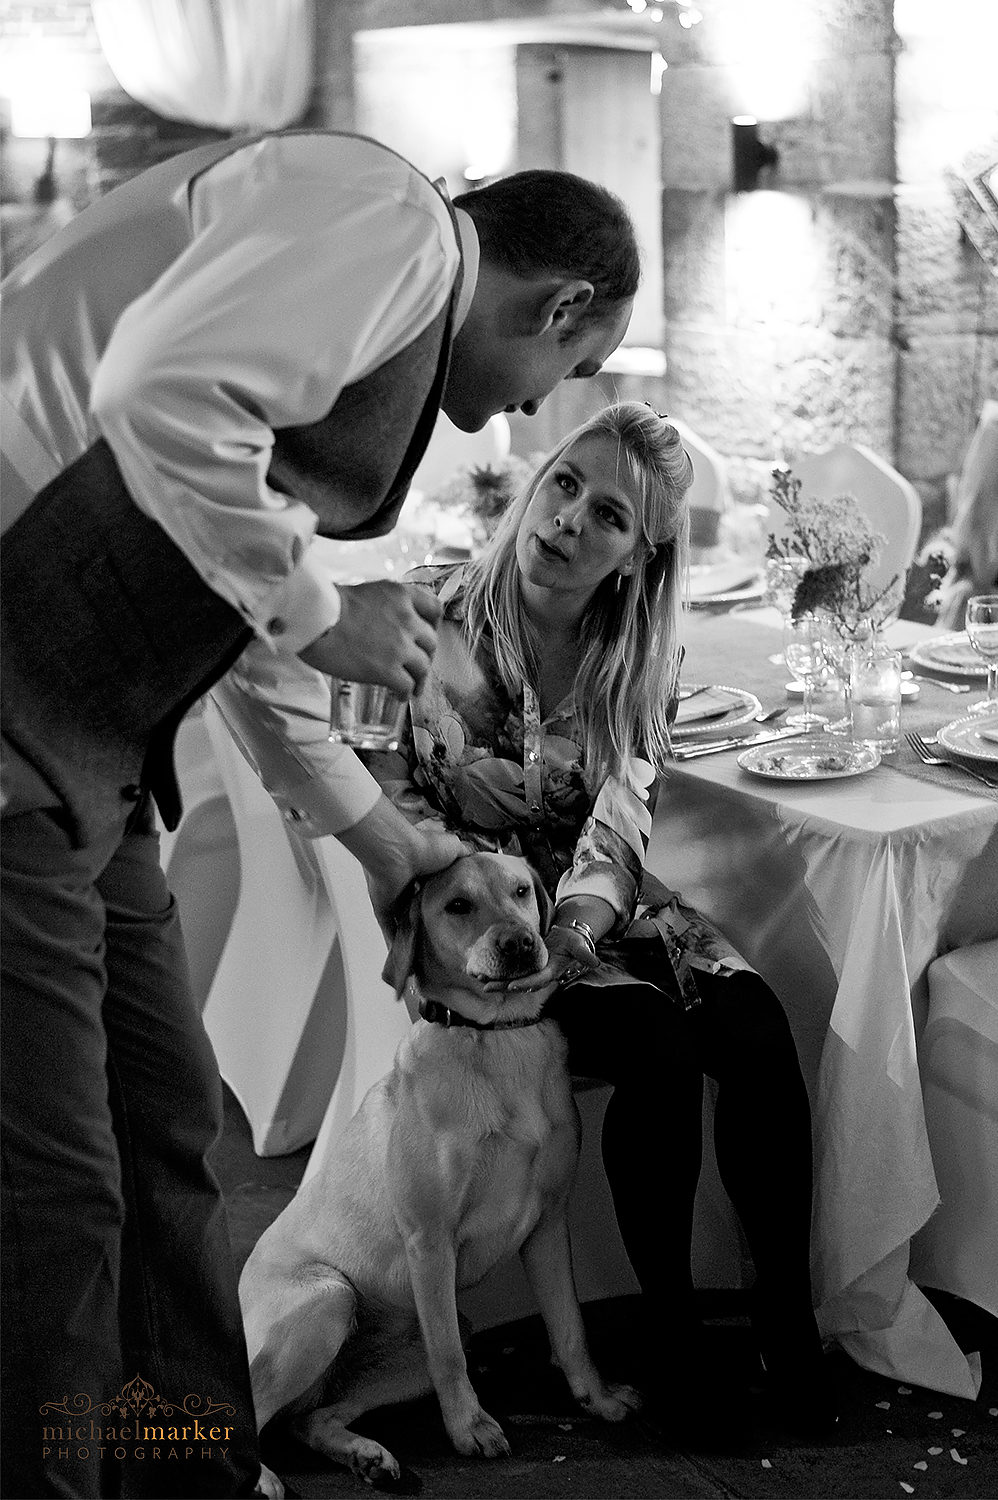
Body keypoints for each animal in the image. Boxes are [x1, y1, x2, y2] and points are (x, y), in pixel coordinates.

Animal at [237, 852, 633, 1494]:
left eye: (521, 891)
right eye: (458, 905)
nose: (520, 944)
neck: (494, 1040)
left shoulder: (549, 1225)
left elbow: (570, 1329)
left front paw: (596, 1400)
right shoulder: (430, 1240)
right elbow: (449, 1356)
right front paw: (470, 1429)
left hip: (393, 1351)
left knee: (309, 1419)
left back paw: (367, 1456)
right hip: (328, 1300)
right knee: (245, 1410)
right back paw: (263, 1479)